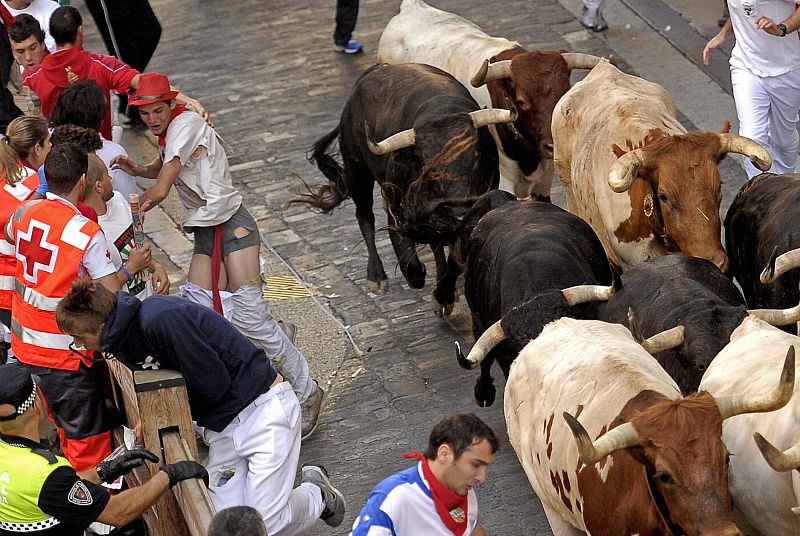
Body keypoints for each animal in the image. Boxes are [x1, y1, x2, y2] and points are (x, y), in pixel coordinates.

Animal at [296, 62, 504, 316]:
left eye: (477, 154)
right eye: (424, 163)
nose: (457, 212)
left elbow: (453, 258)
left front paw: (444, 296)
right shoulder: (397, 205)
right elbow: (405, 252)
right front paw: (419, 275)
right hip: (357, 174)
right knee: (365, 218)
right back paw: (376, 277)